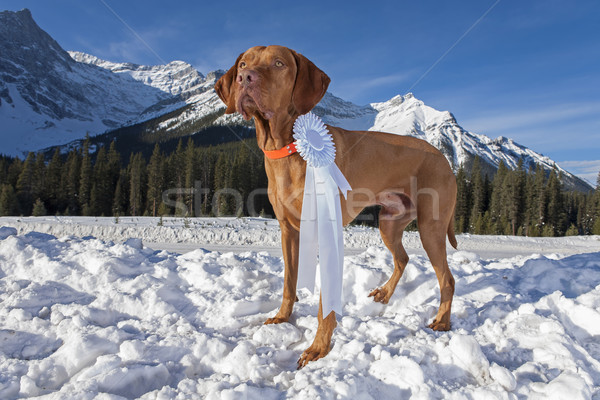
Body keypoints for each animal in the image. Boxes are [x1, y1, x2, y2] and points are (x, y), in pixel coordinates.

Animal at [218, 45, 458, 368]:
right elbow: (289, 283)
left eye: (279, 63)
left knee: (447, 278)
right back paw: (385, 294)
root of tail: (445, 159)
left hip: (431, 227)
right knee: (403, 258)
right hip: (389, 223)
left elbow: (325, 303)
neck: (288, 149)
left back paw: (442, 321)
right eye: (243, 64)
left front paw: (318, 347)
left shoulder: (326, 232)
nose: (245, 78)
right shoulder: (288, 232)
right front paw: (283, 318)